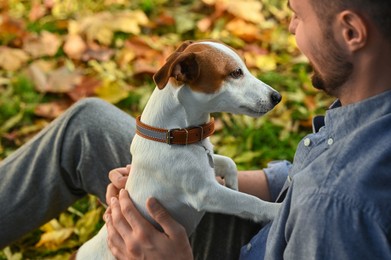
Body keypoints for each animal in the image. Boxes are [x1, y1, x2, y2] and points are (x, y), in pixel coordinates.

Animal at [75, 39, 282, 258]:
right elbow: (249, 201)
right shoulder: (206, 193)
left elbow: (228, 162)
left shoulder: (207, 164)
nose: (277, 96)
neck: (176, 136)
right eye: (236, 73)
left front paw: (233, 183)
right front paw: (276, 209)